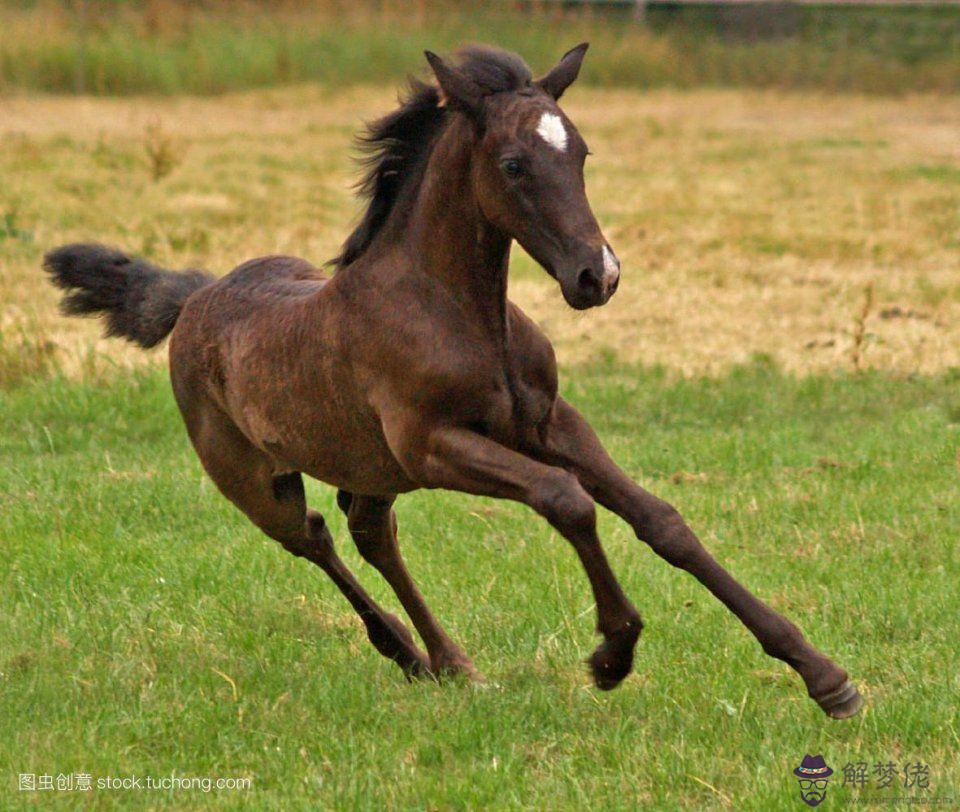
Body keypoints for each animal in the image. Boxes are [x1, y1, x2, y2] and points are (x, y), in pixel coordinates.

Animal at [43, 44, 864, 716]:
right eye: (513, 165)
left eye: (583, 153)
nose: (597, 276)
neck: (462, 315)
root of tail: (194, 298)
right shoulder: (434, 446)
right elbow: (566, 501)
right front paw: (613, 653)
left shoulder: (550, 423)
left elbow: (662, 521)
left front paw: (825, 677)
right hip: (258, 482)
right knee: (315, 538)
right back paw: (413, 655)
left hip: (369, 467)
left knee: (370, 532)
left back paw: (445, 661)